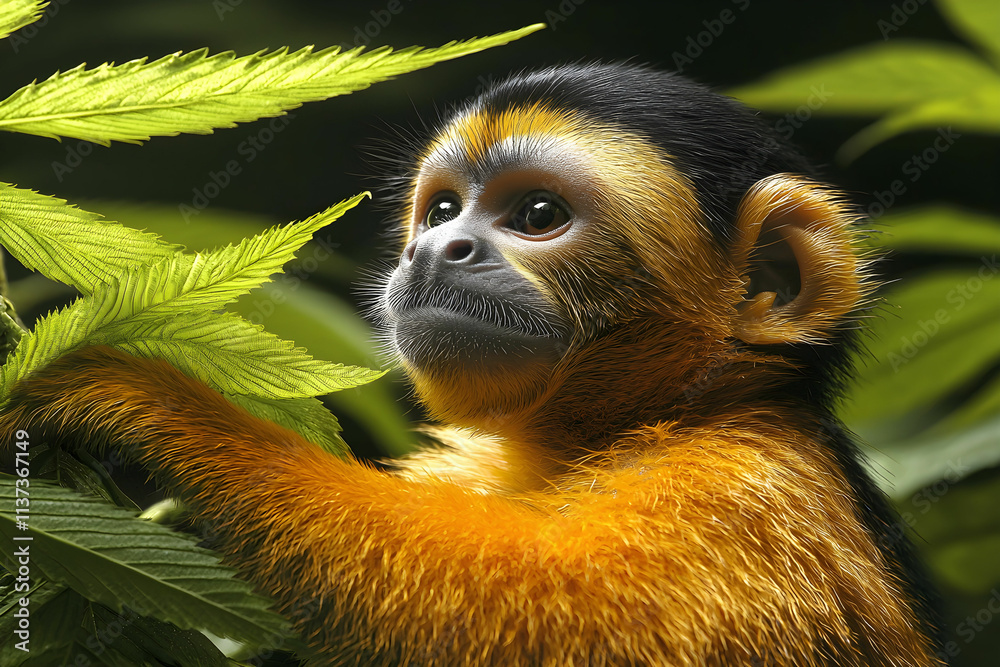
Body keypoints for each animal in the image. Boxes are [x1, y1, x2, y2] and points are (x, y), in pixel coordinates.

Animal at [1, 62, 945, 666]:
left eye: (537, 214)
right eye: (445, 209)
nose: (435, 248)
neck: (673, 407)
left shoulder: (742, 493)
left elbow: (526, 619)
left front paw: (147, 399)